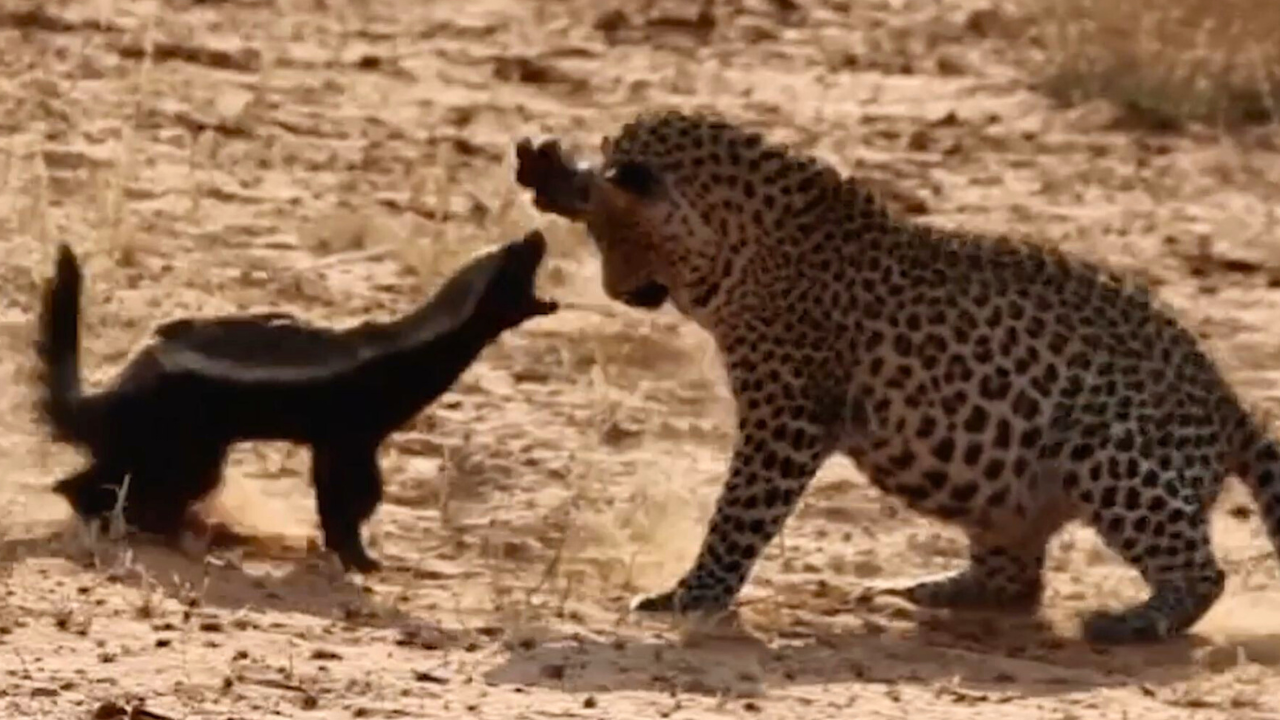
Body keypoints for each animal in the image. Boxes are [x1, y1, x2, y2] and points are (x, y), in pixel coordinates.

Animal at [513, 109, 1280, 645]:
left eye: (613, 236)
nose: (615, 293)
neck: (741, 243)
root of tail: (1229, 402)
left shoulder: (786, 417)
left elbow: (737, 514)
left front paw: (692, 596)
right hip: (998, 485)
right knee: (1016, 578)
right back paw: (932, 590)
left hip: (1111, 451)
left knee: (1202, 572)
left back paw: (1131, 623)